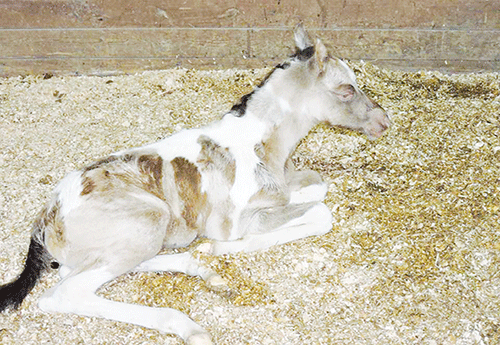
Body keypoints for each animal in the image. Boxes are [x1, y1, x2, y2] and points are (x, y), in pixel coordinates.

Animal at [0, 26, 390, 344]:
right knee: (65, 293)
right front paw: (225, 248)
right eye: (346, 89)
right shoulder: (236, 221)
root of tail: (45, 220)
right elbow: (320, 212)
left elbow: (318, 186)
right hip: (148, 220)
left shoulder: (290, 181)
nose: (383, 122)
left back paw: (203, 270)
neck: (260, 146)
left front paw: (213, 253)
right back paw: (188, 325)